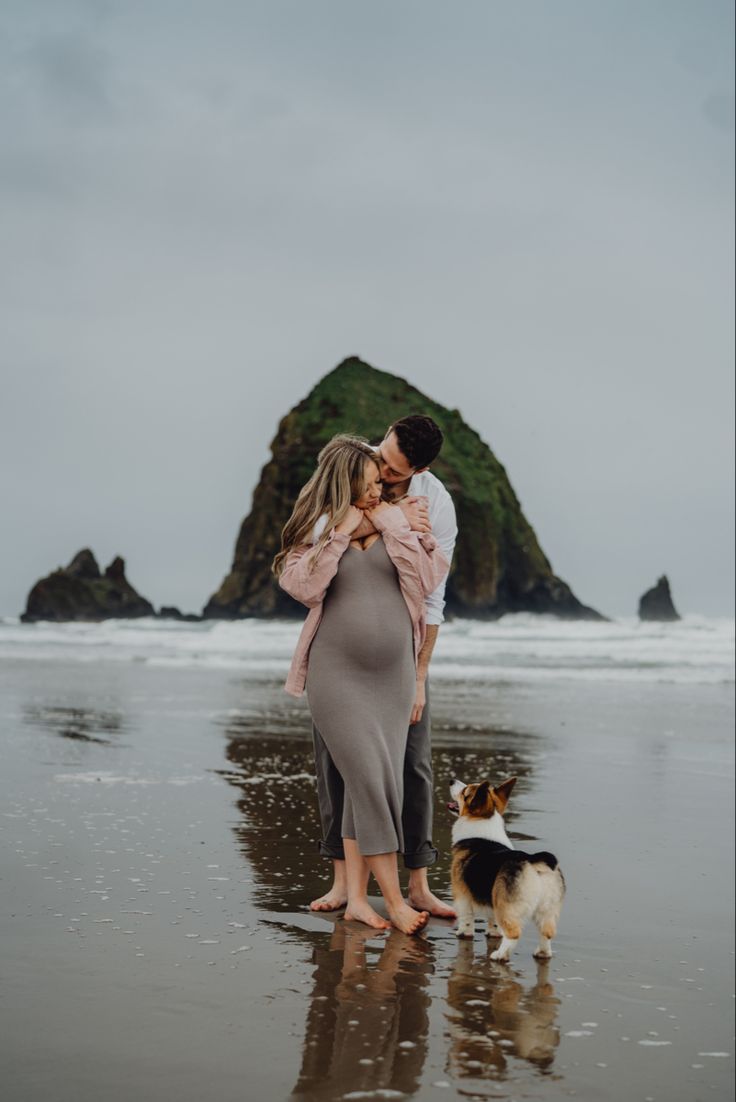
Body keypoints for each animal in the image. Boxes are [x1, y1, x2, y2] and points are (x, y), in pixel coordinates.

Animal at [449, 775, 564, 965]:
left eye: (465, 792)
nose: (451, 781)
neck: (482, 824)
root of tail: (532, 860)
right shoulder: (493, 900)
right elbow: (493, 922)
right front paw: (493, 934)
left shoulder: (462, 895)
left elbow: (466, 919)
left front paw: (463, 933)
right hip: (547, 909)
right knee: (547, 932)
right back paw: (542, 953)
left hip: (507, 907)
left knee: (513, 933)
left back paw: (500, 955)